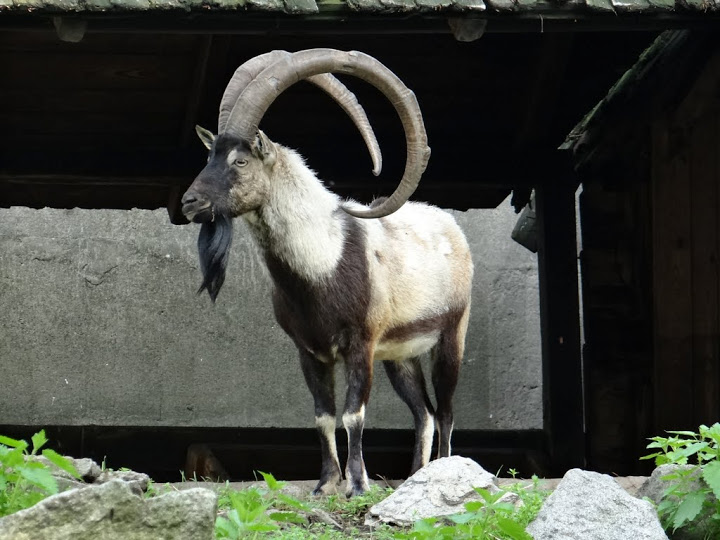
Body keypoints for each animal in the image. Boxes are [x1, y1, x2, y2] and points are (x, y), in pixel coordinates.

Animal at [181, 49, 474, 497]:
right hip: (400, 354)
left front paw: (358, 484)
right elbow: (323, 415)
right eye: (209, 156)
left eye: (240, 159)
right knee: (422, 412)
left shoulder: (359, 345)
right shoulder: (310, 351)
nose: (190, 202)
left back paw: (440, 470)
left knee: (445, 411)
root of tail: (451, 227)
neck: (324, 261)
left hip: (451, 334)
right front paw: (325, 484)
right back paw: (415, 477)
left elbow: (353, 414)